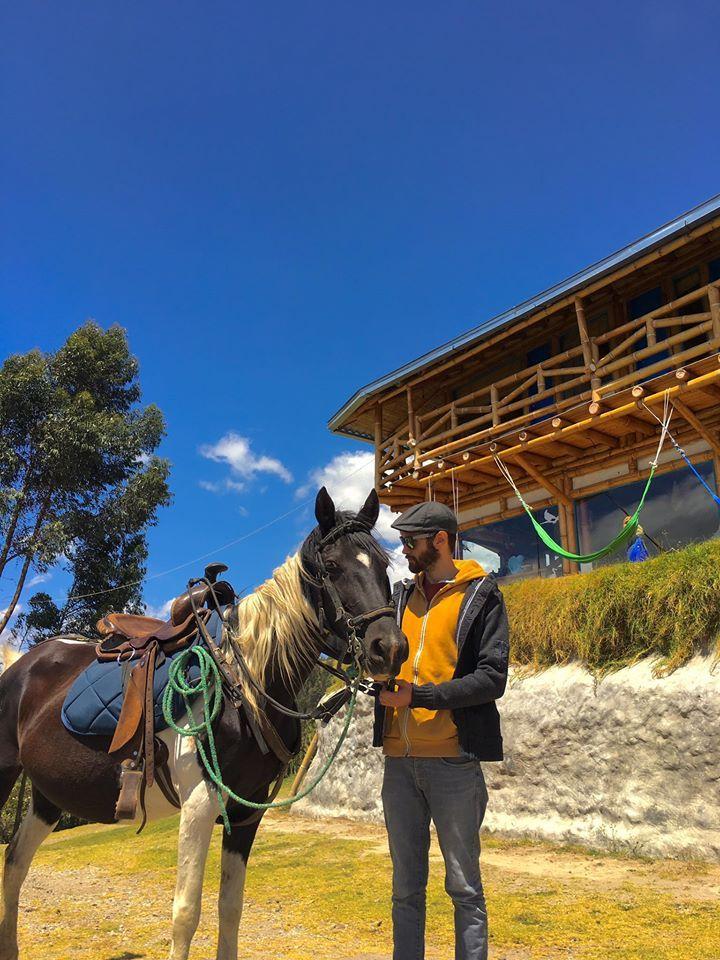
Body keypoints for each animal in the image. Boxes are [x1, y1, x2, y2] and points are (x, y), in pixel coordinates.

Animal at [0, 488, 404, 960]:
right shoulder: (199, 802)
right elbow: (186, 914)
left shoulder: (247, 813)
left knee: (15, 865)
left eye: (383, 566)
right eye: (333, 567)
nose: (389, 648)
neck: (243, 685)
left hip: (48, 795)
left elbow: (230, 907)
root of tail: (19, 664)